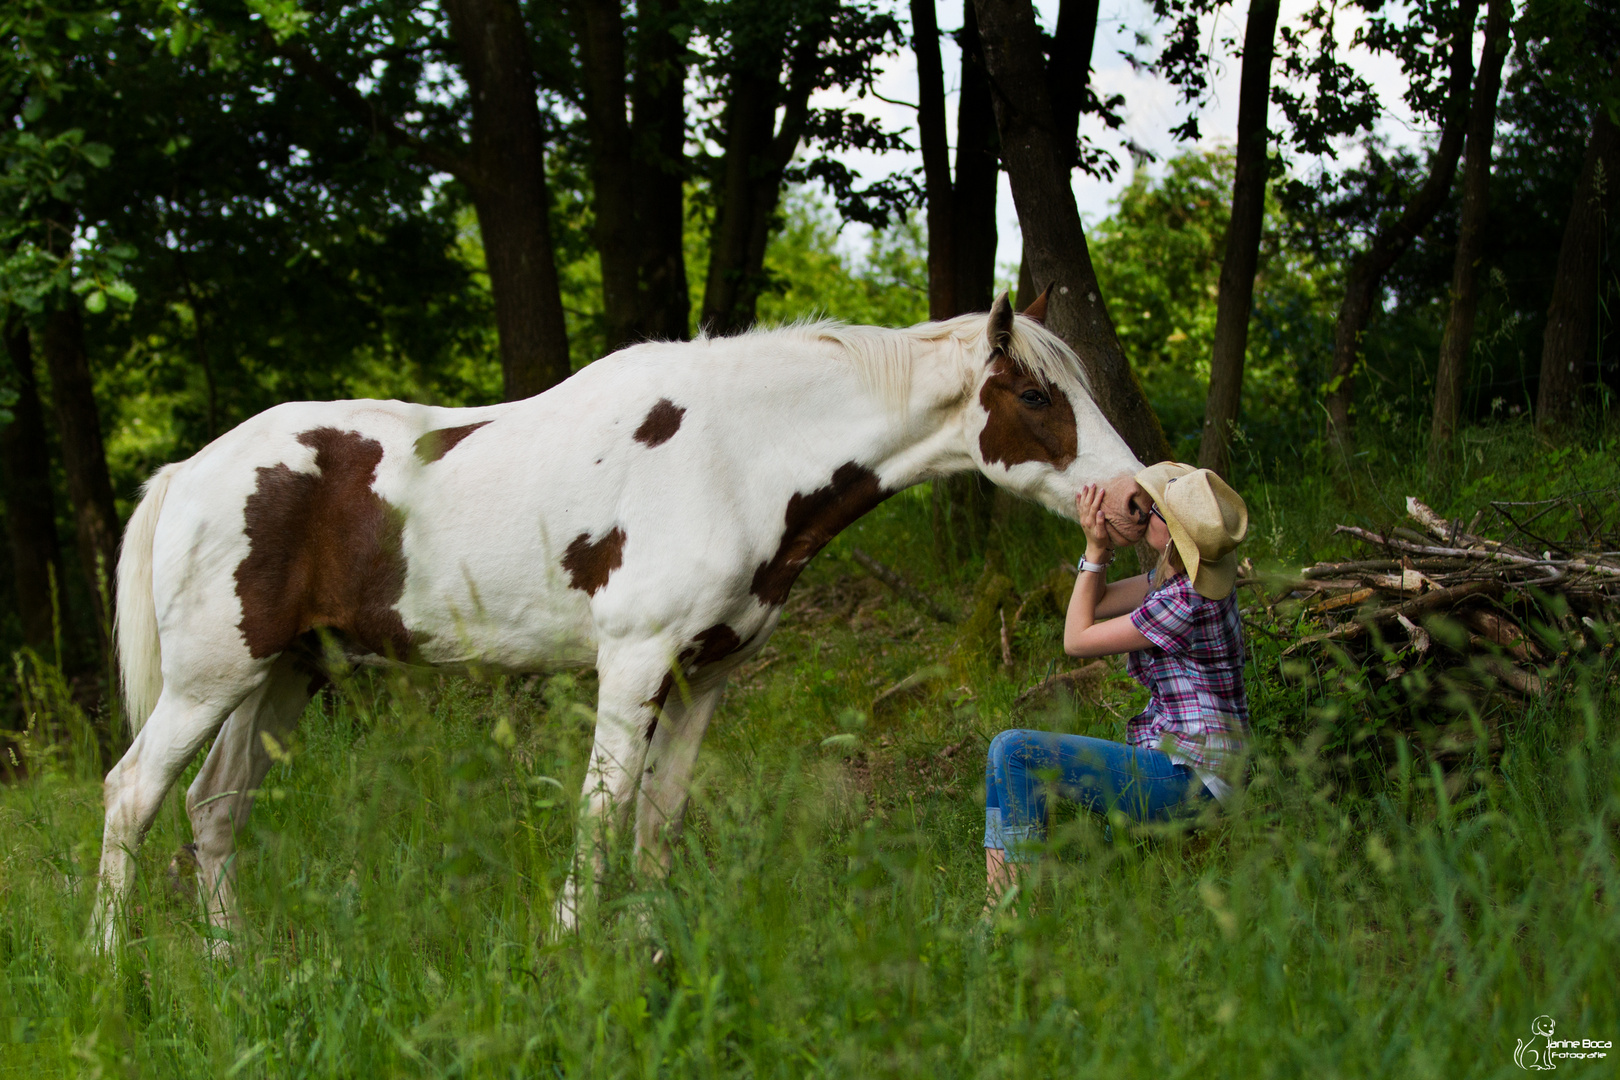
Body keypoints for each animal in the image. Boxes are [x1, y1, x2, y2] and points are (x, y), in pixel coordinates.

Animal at [94, 291, 1153, 952]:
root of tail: (190, 470)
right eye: (1035, 394)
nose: (1138, 500)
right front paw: (567, 951)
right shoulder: (635, 666)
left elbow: (657, 818)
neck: (738, 454)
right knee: (132, 795)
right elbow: (600, 813)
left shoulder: (704, 675)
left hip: (280, 677)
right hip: (211, 680)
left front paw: (644, 948)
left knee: (214, 809)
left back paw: (233, 968)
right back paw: (110, 972)